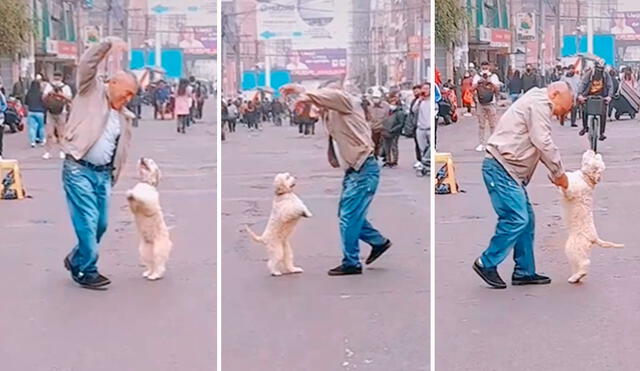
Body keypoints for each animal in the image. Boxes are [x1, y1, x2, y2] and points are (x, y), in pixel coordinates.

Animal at [564, 151, 624, 284]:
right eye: (597, 157)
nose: (593, 150)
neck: (586, 178)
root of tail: (594, 238)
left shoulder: (573, 191)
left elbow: (567, 190)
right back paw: (576, 276)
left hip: (573, 247)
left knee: (585, 263)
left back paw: (575, 277)